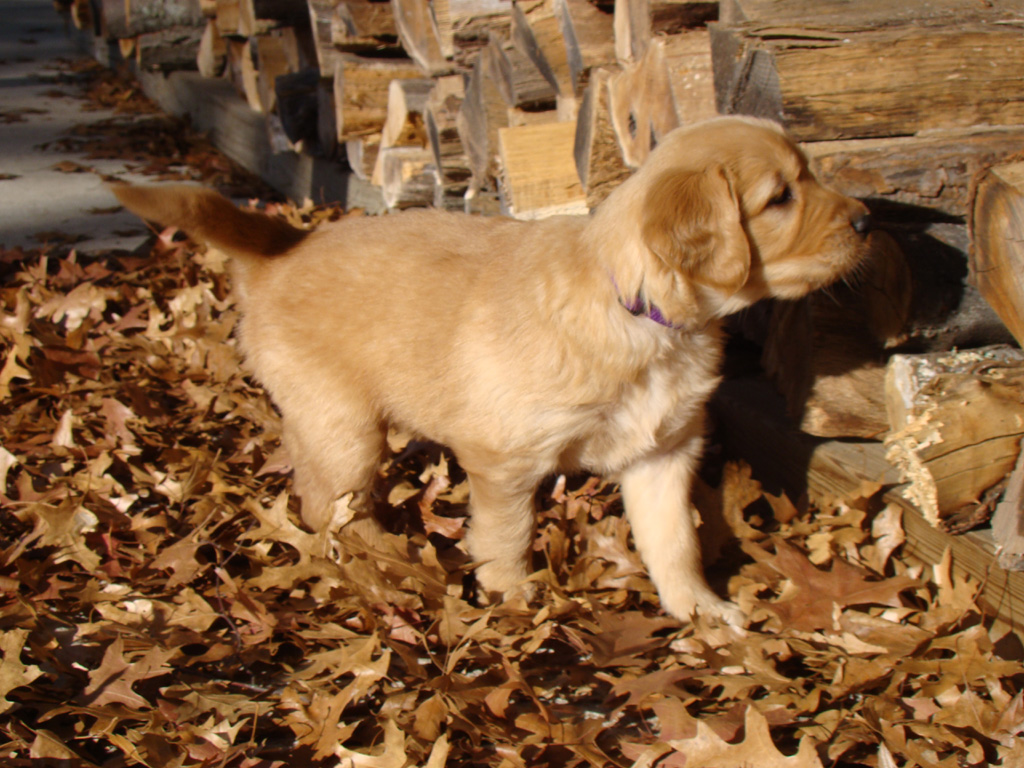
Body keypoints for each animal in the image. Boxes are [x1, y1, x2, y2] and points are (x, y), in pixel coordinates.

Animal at [112, 118, 868, 626]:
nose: (867, 219)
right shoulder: (504, 458)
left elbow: (674, 539)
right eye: (780, 197)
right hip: (345, 425)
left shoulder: (664, 451)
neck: (638, 312)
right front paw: (514, 598)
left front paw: (700, 608)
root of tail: (283, 246)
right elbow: (507, 536)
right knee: (331, 507)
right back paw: (386, 564)